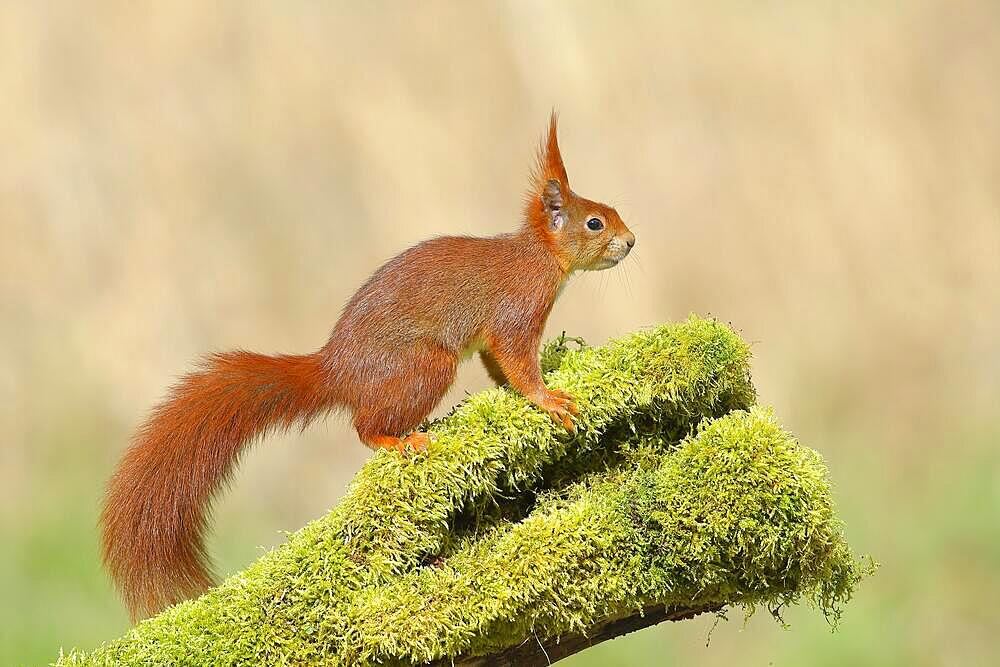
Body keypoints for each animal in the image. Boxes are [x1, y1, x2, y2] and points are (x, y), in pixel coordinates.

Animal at [99, 115, 632, 620]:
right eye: (595, 223)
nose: (631, 241)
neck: (538, 255)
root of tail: (337, 371)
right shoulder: (516, 312)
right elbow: (519, 363)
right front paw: (548, 399)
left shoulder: (492, 337)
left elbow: (498, 368)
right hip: (426, 366)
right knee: (364, 427)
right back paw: (399, 441)